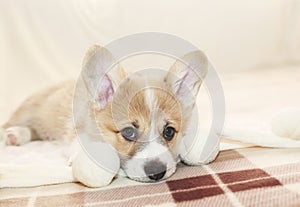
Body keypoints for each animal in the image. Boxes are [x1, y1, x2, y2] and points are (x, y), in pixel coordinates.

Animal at [0, 45, 209, 183]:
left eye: (169, 132)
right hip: (26, 111)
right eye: (128, 132)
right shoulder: (76, 130)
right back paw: (12, 134)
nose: (156, 173)